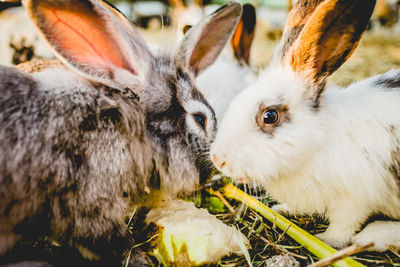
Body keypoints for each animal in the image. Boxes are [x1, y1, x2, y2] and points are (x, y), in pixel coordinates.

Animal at [0, 0, 242, 266]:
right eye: (200, 119)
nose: (211, 174)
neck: (135, 128)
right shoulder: (91, 204)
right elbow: (108, 239)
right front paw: (137, 257)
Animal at [209, 0, 400, 251]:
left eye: (270, 116)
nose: (217, 158)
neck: (318, 140)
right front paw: (282, 209)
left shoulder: (355, 198)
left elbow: (344, 224)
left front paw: (327, 240)